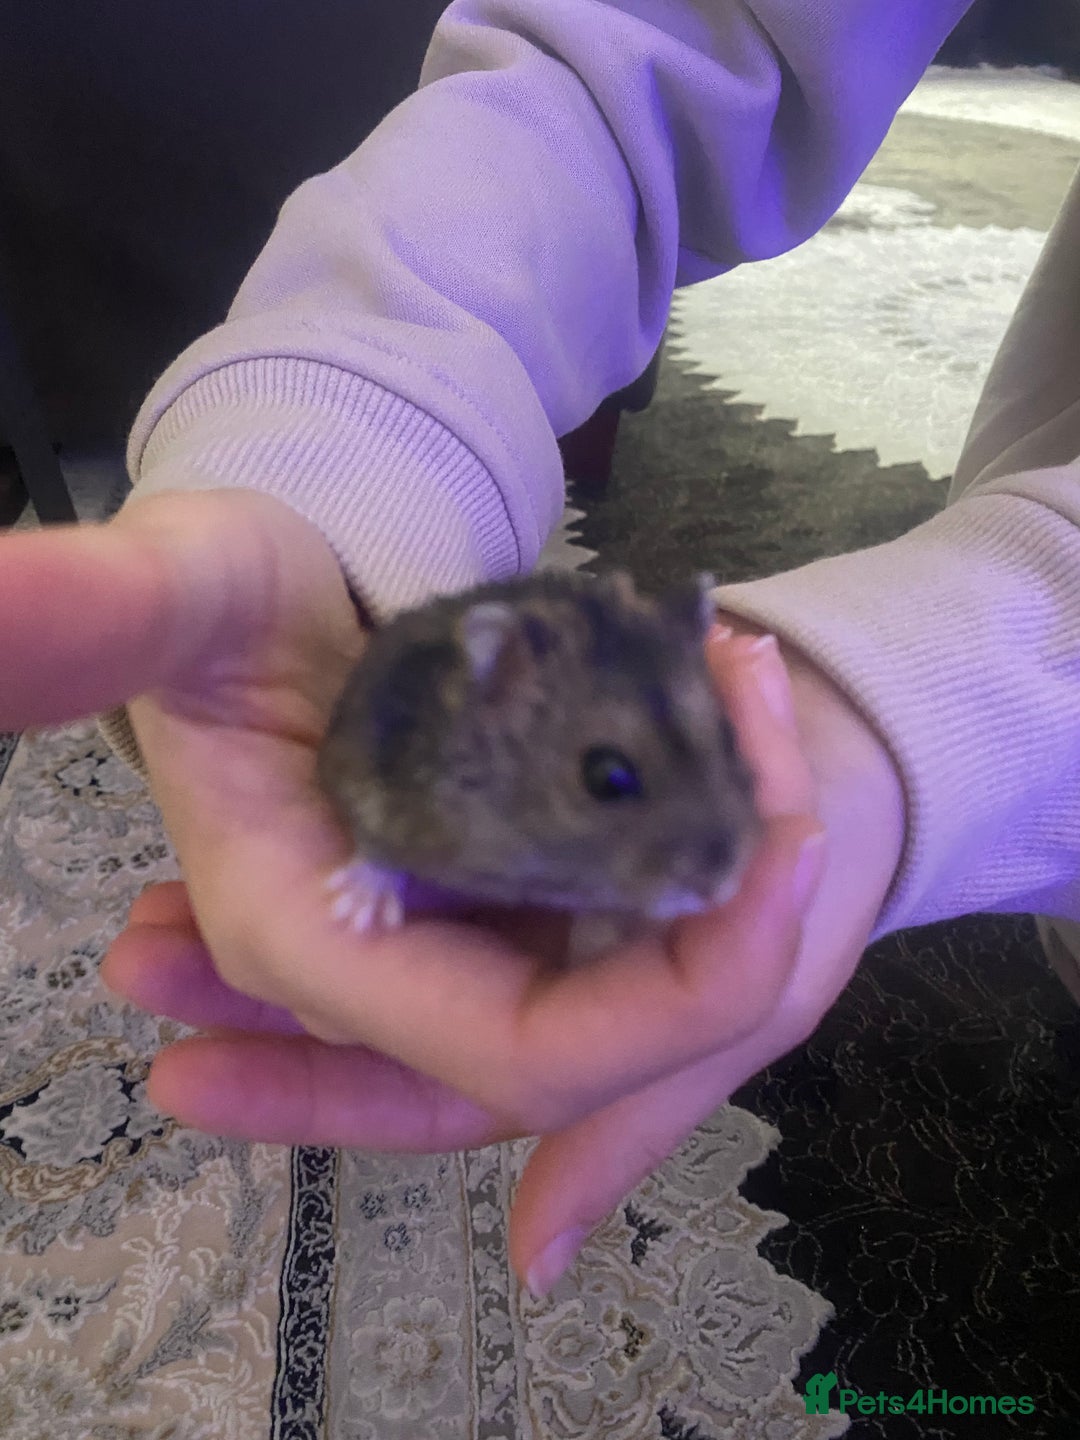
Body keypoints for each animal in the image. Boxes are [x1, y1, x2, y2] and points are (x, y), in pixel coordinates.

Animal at [316, 569, 760, 935]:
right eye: (607, 777)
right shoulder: (370, 775)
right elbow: (375, 848)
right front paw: (353, 910)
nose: (721, 889)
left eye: (728, 736)